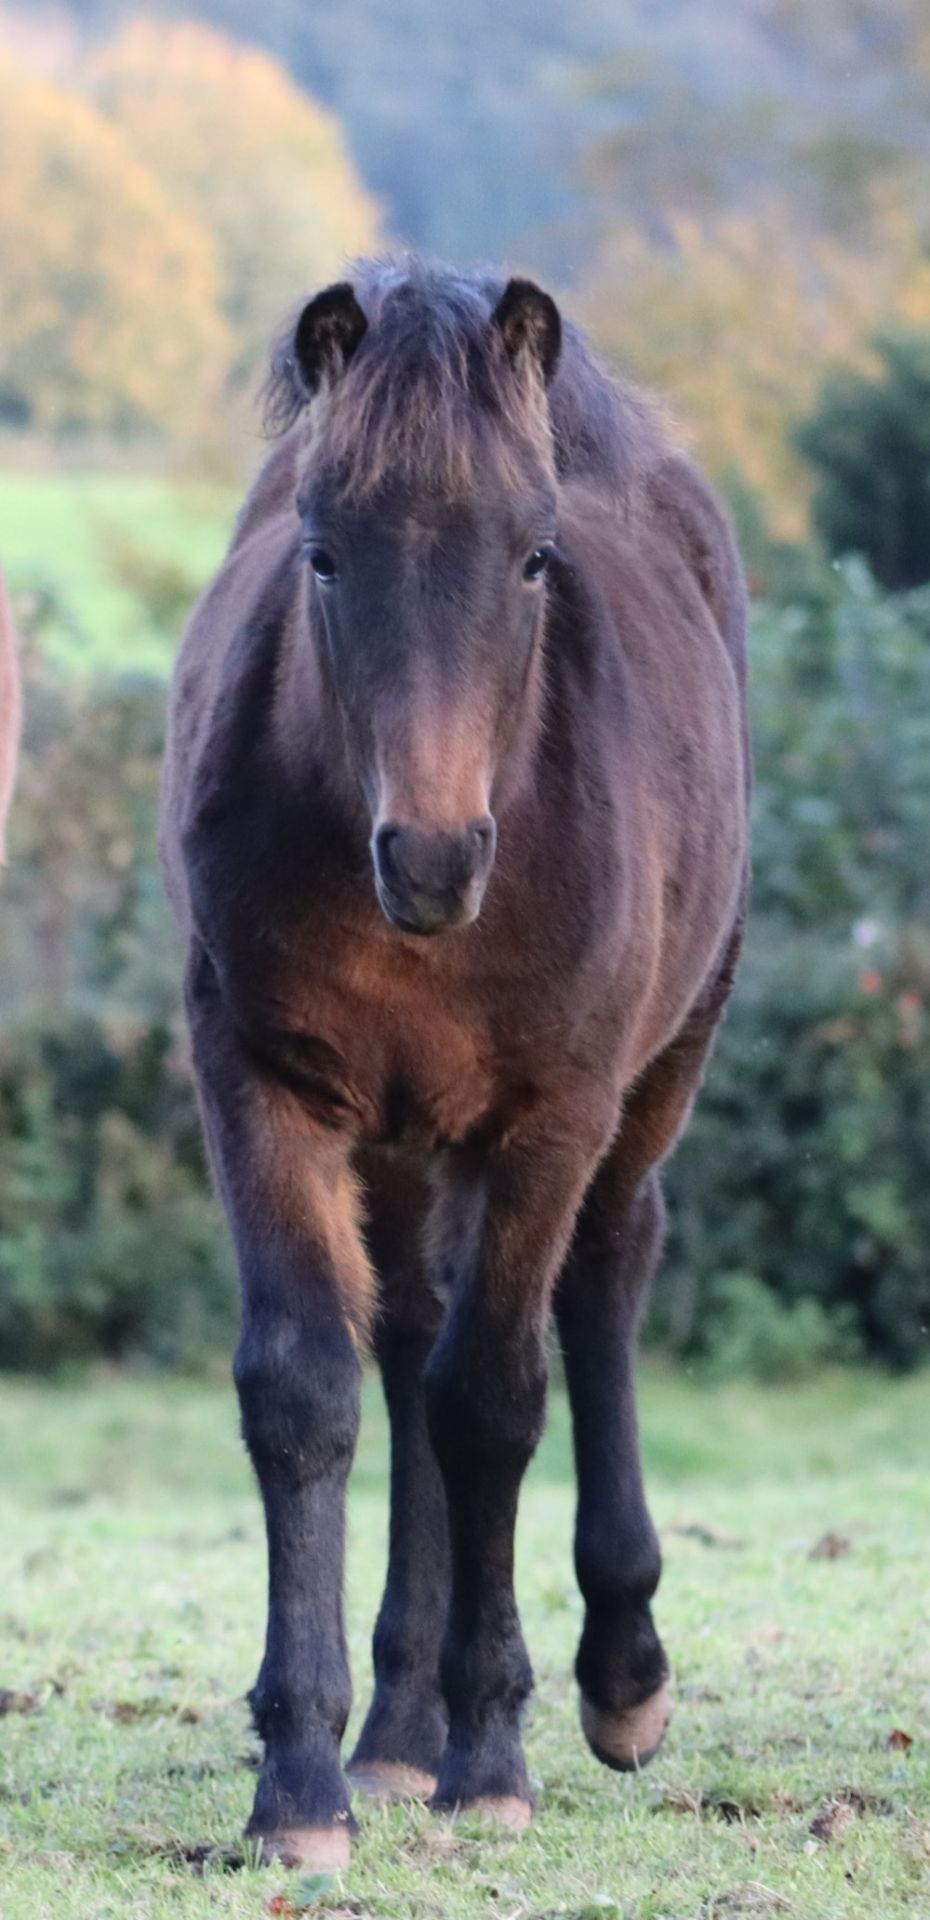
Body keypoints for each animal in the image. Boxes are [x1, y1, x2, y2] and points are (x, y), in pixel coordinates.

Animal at [161, 259, 749, 1873]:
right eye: (321, 555)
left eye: (534, 557)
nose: (430, 857)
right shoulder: (264, 1089)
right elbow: (310, 1393)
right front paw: (302, 1783)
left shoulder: (546, 1119)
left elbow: (491, 1399)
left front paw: (496, 1756)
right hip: (402, 1139)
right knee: (409, 1343)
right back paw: (395, 1732)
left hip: (653, 1072)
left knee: (603, 1273)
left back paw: (617, 1679)